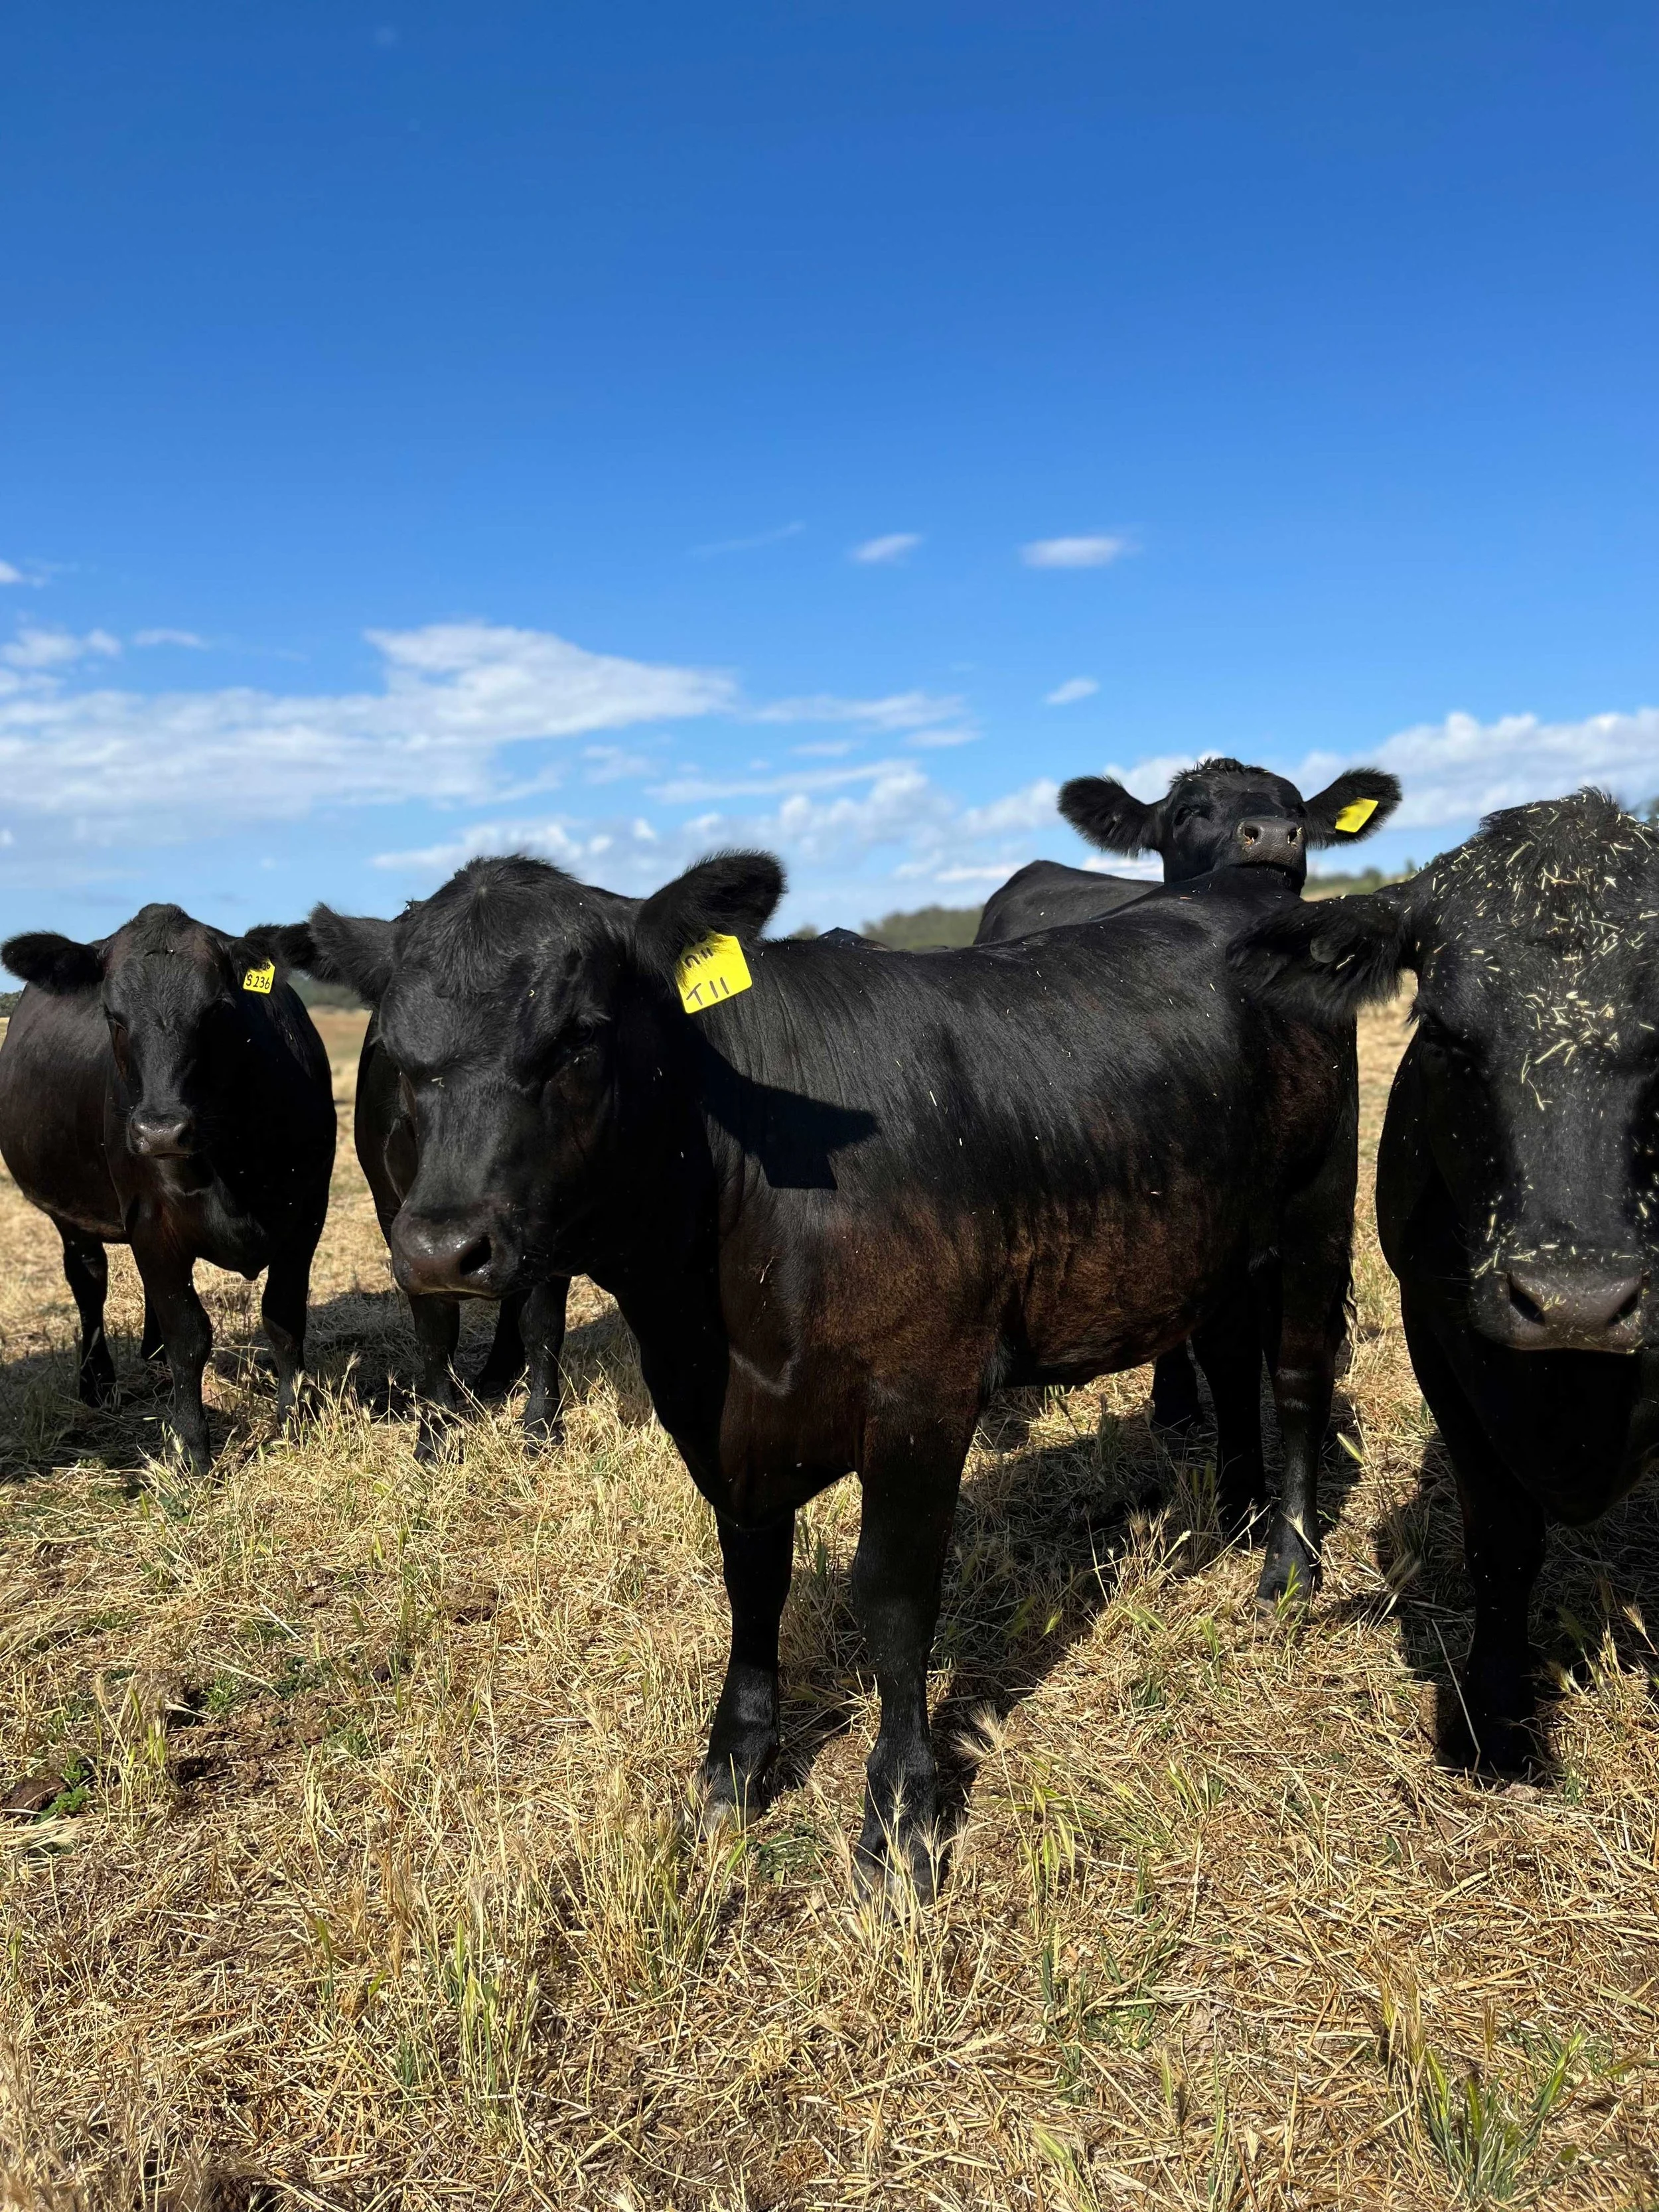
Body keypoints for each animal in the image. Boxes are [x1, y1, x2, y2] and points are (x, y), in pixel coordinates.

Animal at [0, 905, 336, 1473]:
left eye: (217, 1008)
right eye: (111, 1014)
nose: (161, 1131)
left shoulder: (306, 1213)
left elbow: (284, 1315)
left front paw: (294, 1422)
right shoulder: (150, 1220)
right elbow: (189, 1335)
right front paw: (192, 1449)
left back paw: (149, 1357)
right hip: (70, 1213)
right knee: (89, 1280)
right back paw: (97, 1381)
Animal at [298, 849, 1357, 1891]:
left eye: (578, 1037)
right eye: (400, 1055)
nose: (440, 1250)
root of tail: (1243, 883)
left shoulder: (924, 1397)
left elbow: (892, 1596)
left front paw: (899, 1814)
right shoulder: (715, 1420)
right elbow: (751, 1581)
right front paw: (734, 1766)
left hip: (1314, 1214)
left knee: (1301, 1385)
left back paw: (1288, 1569)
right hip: (1214, 1246)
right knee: (1229, 1358)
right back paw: (1233, 1514)